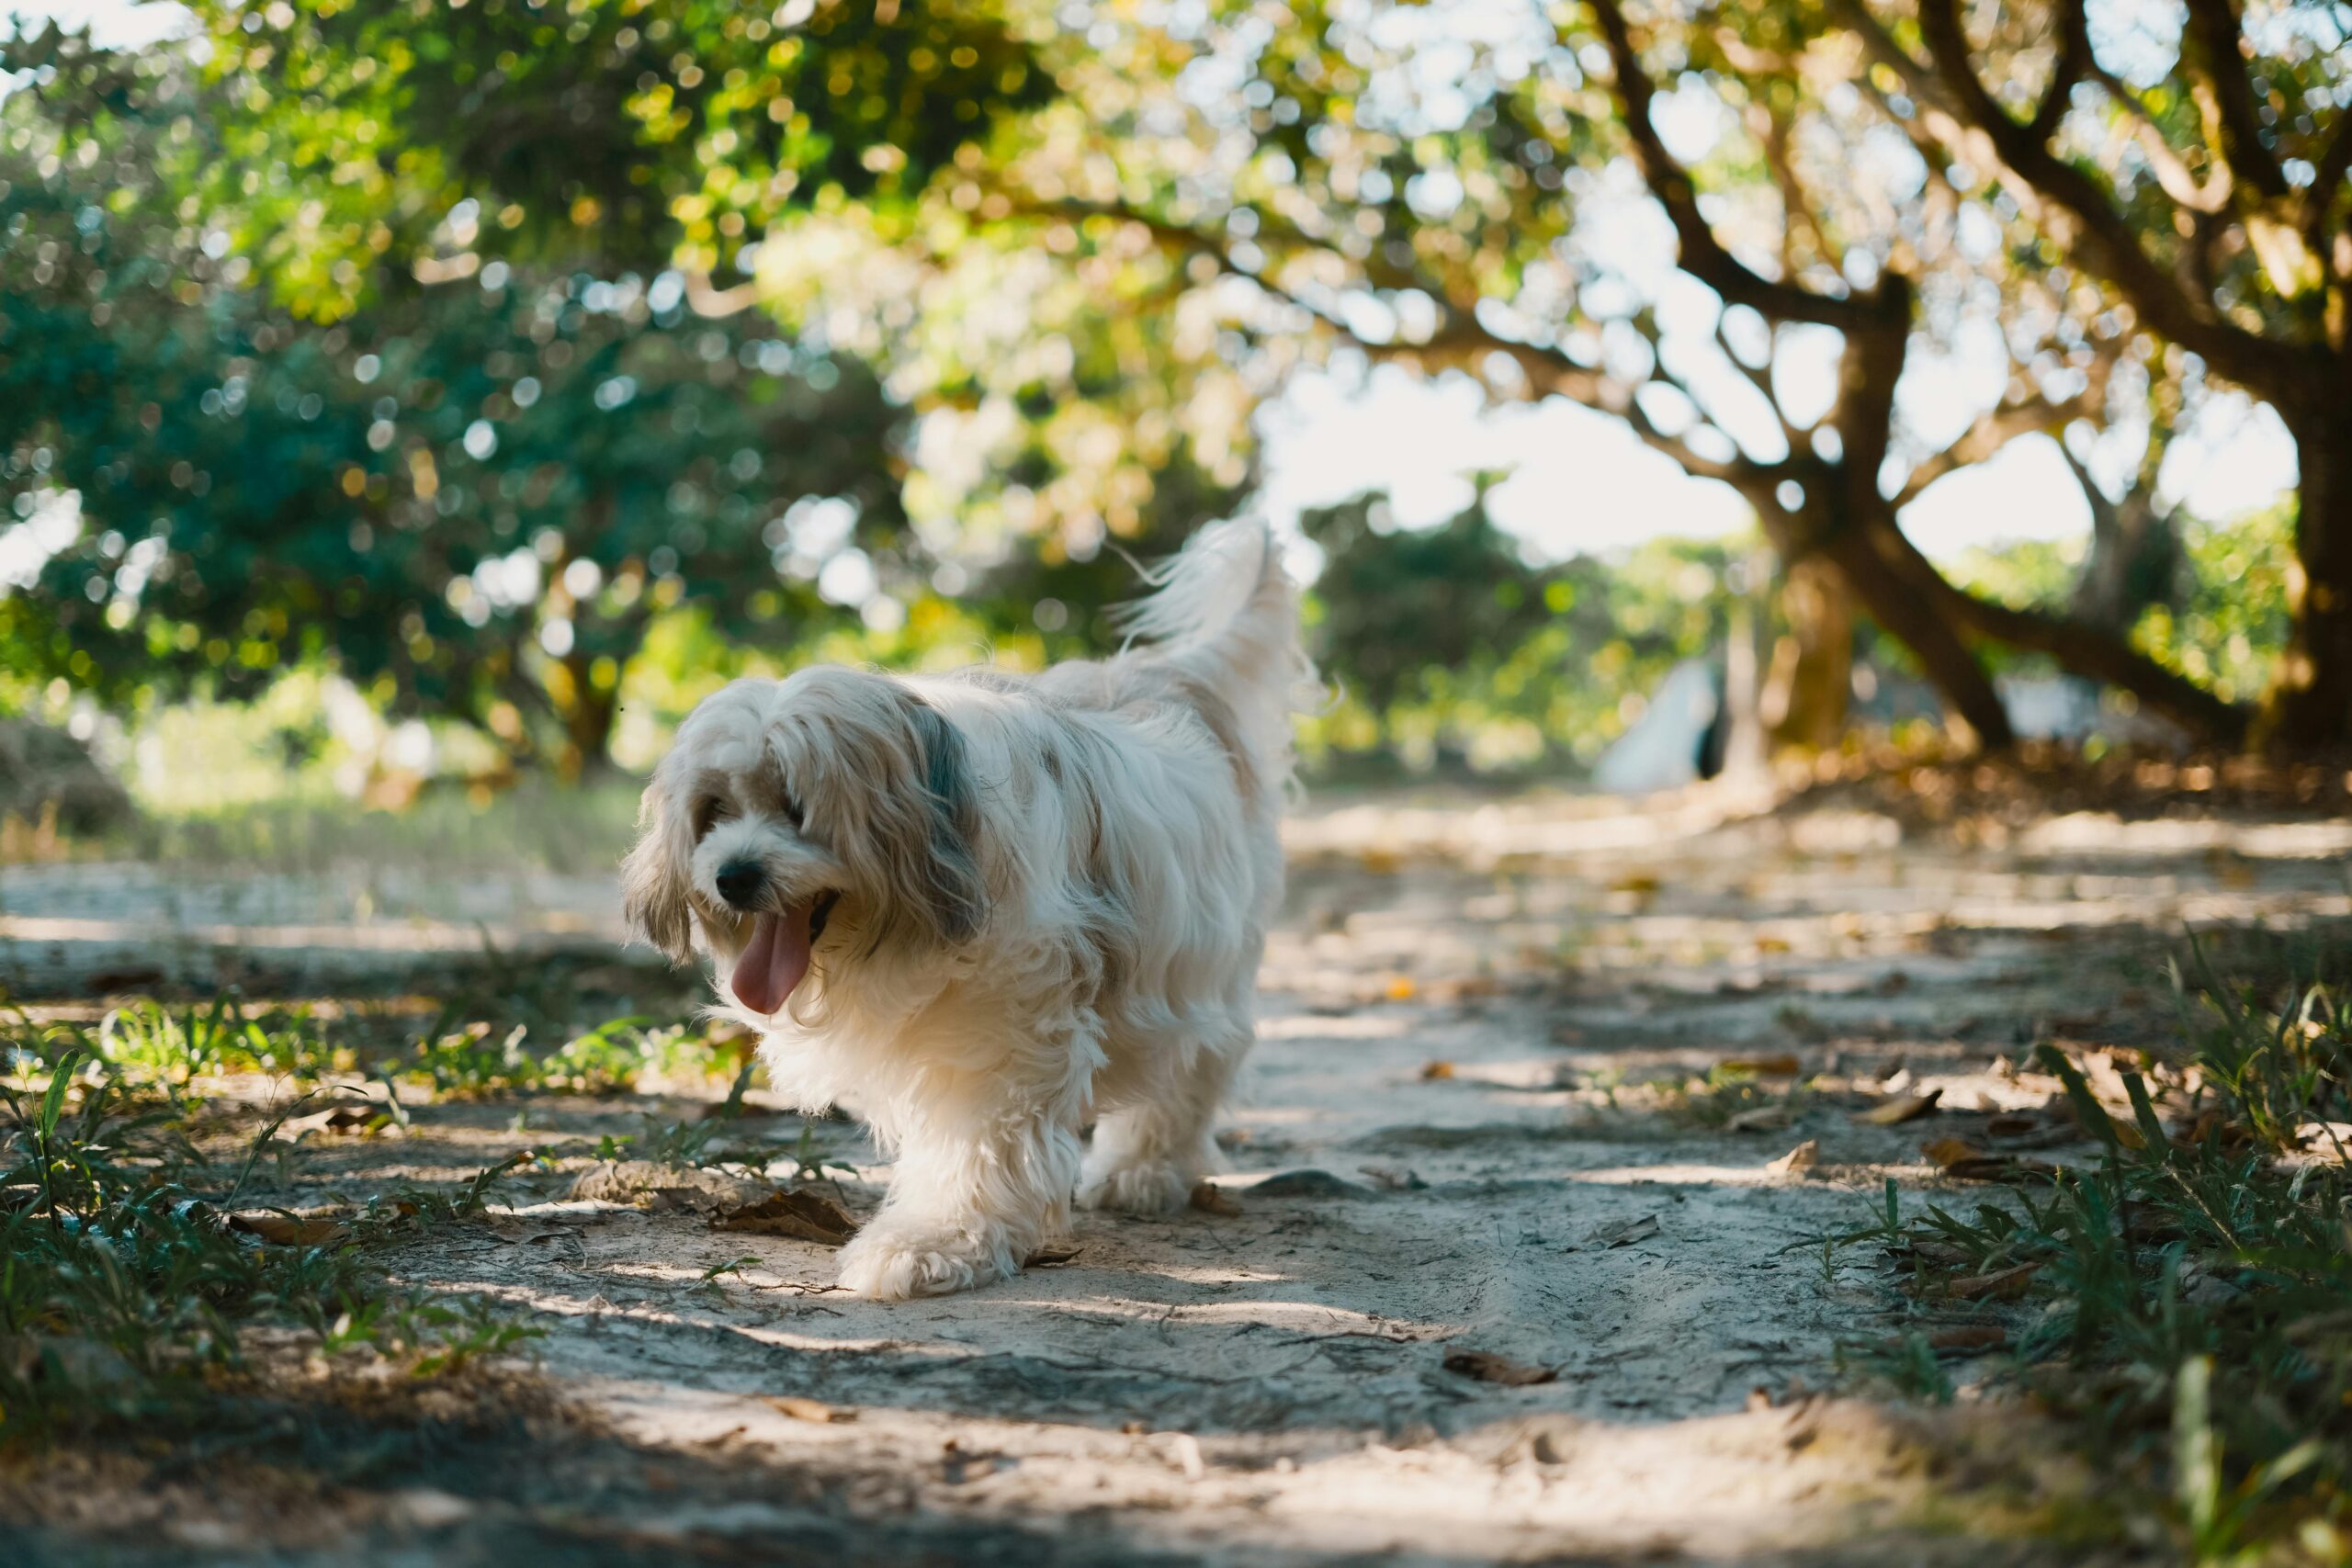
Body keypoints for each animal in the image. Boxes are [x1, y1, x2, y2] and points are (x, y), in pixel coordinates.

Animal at [620, 524, 1307, 1297]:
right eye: (714, 809)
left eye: (796, 805)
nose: (733, 875)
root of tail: (1171, 678)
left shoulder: (1009, 1024)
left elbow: (978, 1140)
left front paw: (935, 1241)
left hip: (1198, 955)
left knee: (1199, 1061)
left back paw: (1145, 1168)